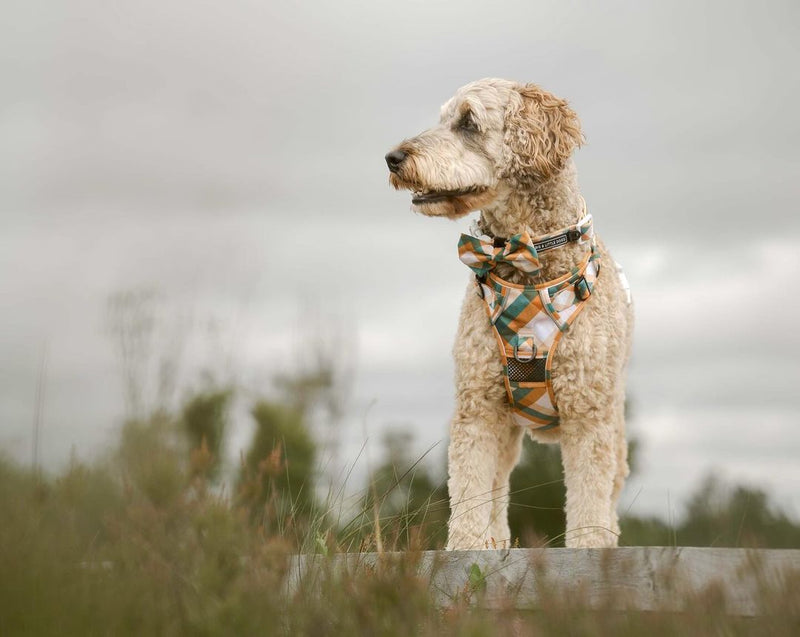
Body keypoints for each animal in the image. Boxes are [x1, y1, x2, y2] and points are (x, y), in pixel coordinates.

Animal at [384, 78, 636, 548]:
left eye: (468, 121)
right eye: (442, 118)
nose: (392, 158)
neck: (525, 260)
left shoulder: (588, 415)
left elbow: (589, 503)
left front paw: (590, 550)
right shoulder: (478, 407)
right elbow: (470, 494)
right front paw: (466, 550)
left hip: (614, 419)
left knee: (610, 494)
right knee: (498, 489)